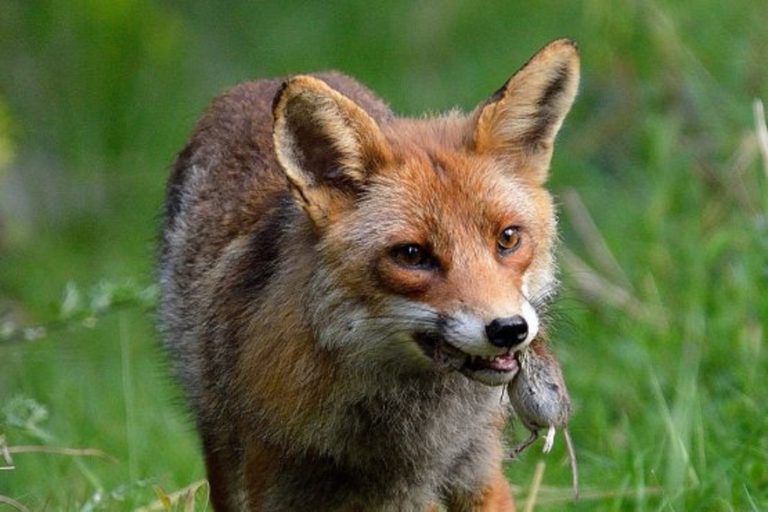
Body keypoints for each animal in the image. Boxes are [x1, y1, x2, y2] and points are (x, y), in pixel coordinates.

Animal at [158, 39, 580, 511]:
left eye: (508, 238)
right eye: (412, 255)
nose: (509, 329)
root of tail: (261, 81)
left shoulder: (478, 473)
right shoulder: (272, 484)